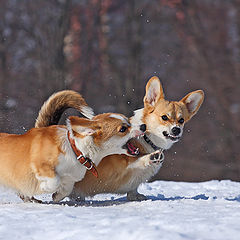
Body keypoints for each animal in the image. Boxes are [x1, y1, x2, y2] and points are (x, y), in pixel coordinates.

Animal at [0, 100, 143, 202]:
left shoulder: (71, 177)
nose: (143, 126)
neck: (75, 150)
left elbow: (66, 189)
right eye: (123, 129)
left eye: (128, 121)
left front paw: (56, 196)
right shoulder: (42, 166)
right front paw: (43, 187)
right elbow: (54, 181)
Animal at [34, 77, 204, 201]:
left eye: (181, 120)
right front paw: (151, 157)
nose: (176, 130)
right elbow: (138, 161)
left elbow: (133, 191)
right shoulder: (121, 167)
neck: (146, 139)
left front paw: (137, 196)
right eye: (164, 117)